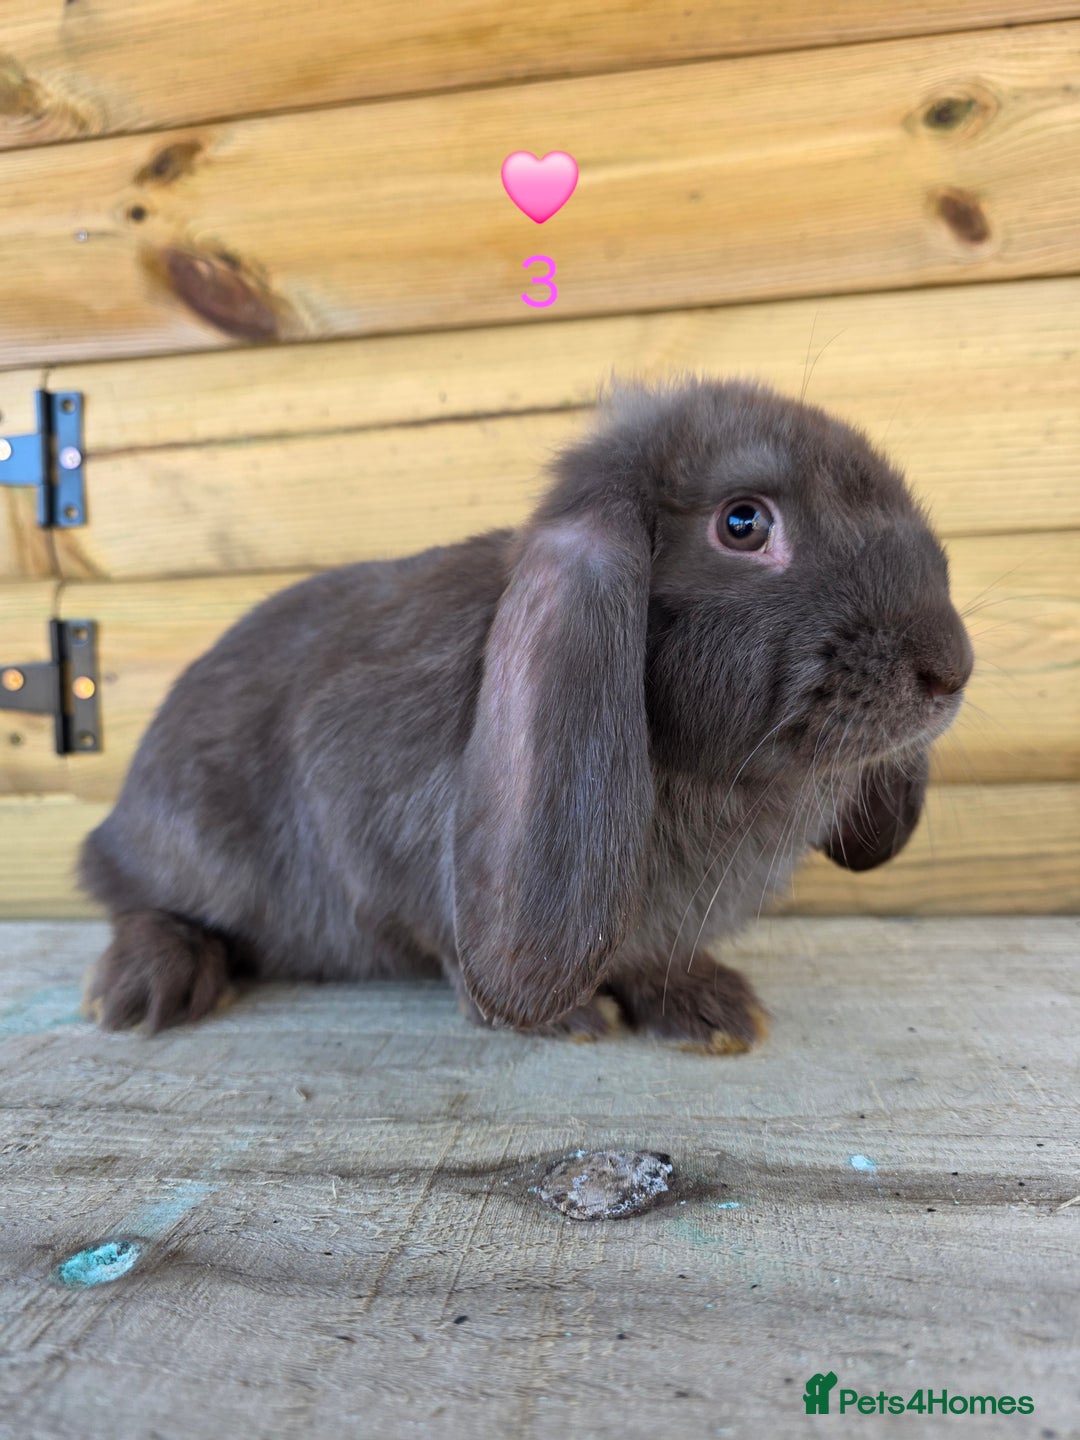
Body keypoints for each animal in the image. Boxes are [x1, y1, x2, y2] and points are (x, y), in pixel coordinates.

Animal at [80, 375, 973, 1051]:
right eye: (743, 523)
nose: (951, 669)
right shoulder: (368, 823)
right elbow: (444, 940)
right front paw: (561, 1019)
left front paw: (710, 1009)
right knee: (135, 899)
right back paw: (146, 987)